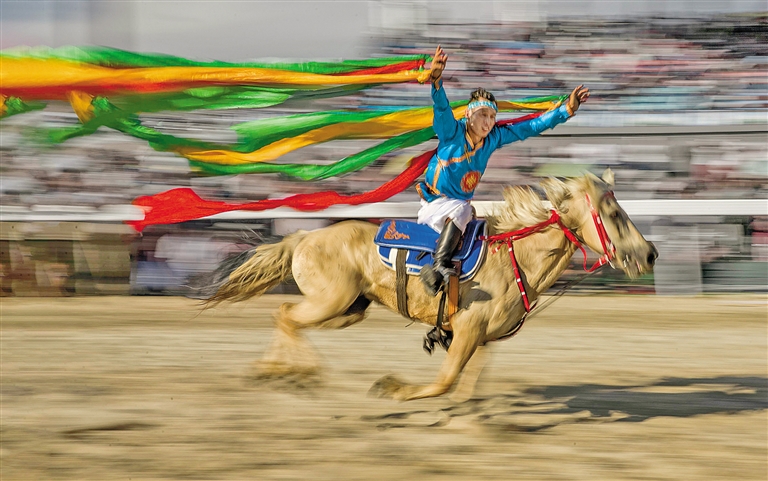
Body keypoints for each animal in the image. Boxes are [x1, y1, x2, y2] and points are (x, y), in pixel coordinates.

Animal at [202, 169, 656, 402]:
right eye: (614, 214)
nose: (649, 253)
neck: (514, 259)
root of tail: (303, 237)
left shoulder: (483, 339)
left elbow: (466, 390)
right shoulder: (468, 331)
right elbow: (445, 381)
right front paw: (391, 388)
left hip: (349, 310)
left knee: (286, 317)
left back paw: (275, 371)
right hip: (331, 302)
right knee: (287, 316)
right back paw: (298, 374)